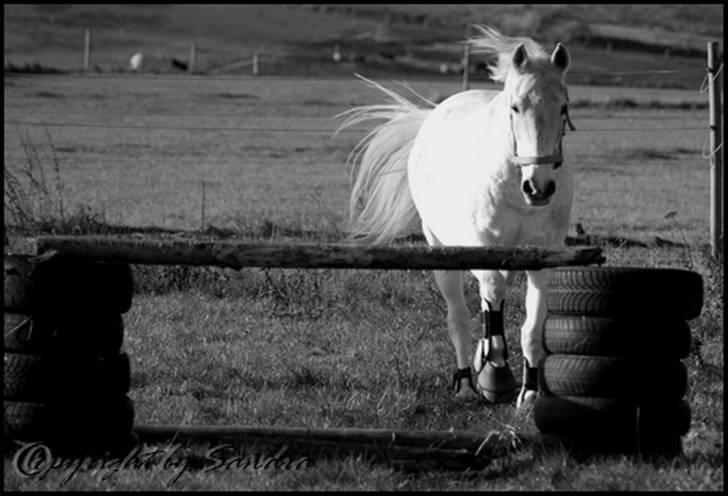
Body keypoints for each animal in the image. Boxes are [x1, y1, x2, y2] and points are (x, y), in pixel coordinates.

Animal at [340, 25, 576, 408]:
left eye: (564, 106)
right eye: (515, 106)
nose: (538, 187)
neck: (515, 188)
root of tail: (434, 115)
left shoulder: (543, 258)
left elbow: (531, 326)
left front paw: (529, 392)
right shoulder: (481, 249)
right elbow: (490, 295)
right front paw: (496, 374)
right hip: (441, 250)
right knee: (460, 316)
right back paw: (467, 380)